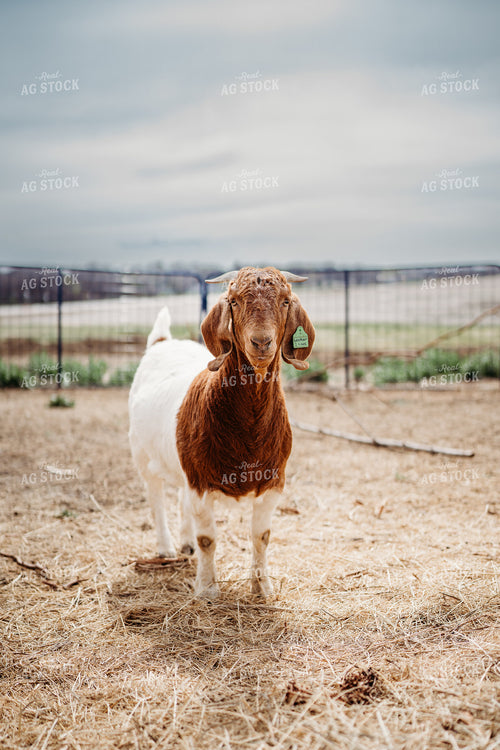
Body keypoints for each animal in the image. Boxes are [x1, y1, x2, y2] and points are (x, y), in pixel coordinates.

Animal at [128, 266, 315, 599]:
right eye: (235, 301)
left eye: (285, 301)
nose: (261, 342)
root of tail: (162, 342)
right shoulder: (201, 483)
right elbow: (208, 540)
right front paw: (207, 589)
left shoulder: (273, 483)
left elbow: (261, 536)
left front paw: (262, 587)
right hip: (142, 455)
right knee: (156, 498)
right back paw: (165, 548)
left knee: (180, 498)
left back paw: (185, 544)